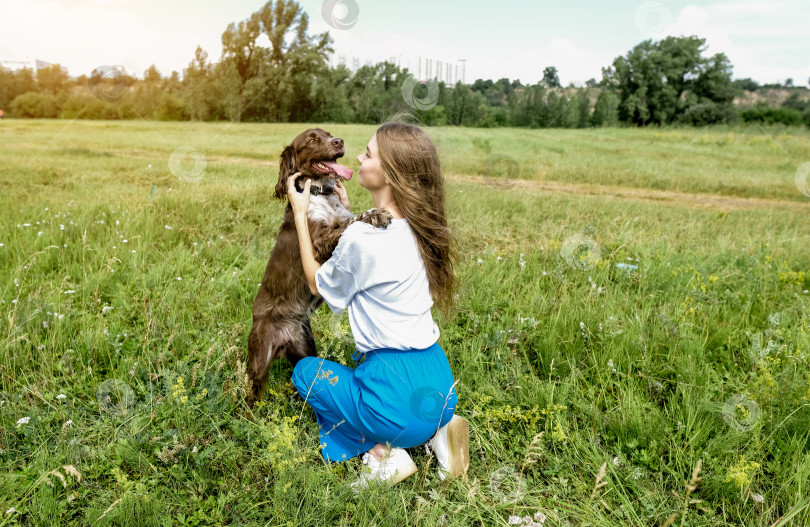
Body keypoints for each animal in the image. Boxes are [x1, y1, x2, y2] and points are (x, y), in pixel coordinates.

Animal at [246, 129, 392, 408]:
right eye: (312, 140)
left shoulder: (340, 219)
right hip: (259, 357)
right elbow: (352, 223)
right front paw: (376, 214)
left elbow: (349, 220)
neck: (320, 193)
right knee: (251, 393)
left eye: (329, 134)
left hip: (305, 349)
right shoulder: (321, 241)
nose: (339, 141)